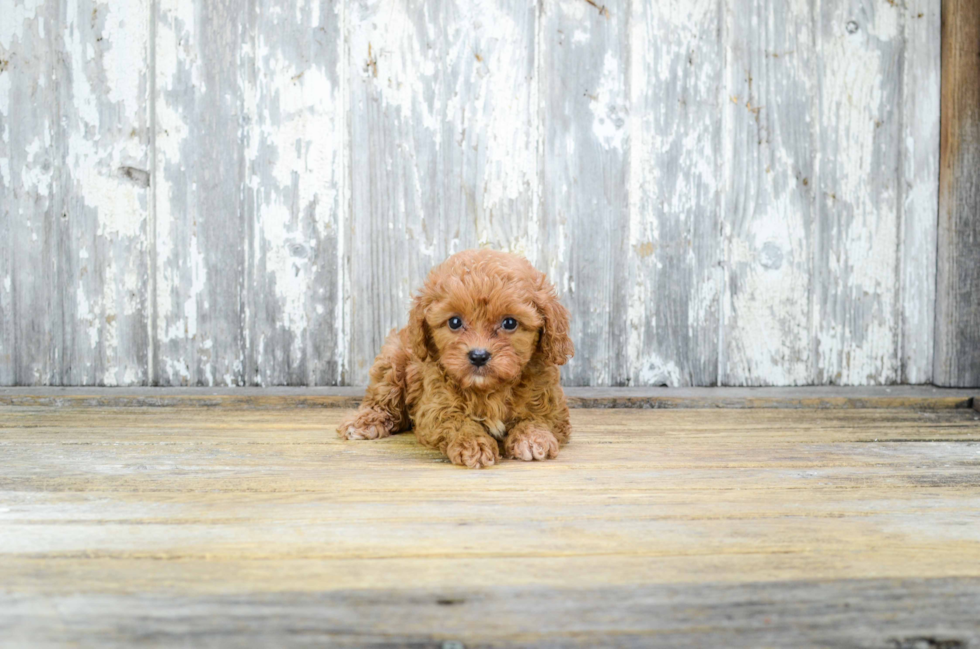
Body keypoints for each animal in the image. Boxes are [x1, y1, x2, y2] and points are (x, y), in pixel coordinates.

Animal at [340, 247, 580, 466]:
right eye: (454, 322)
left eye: (510, 322)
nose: (478, 356)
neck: (488, 389)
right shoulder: (435, 406)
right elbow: (457, 421)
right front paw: (474, 444)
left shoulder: (552, 405)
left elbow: (538, 417)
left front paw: (533, 438)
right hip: (392, 361)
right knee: (382, 400)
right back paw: (363, 423)